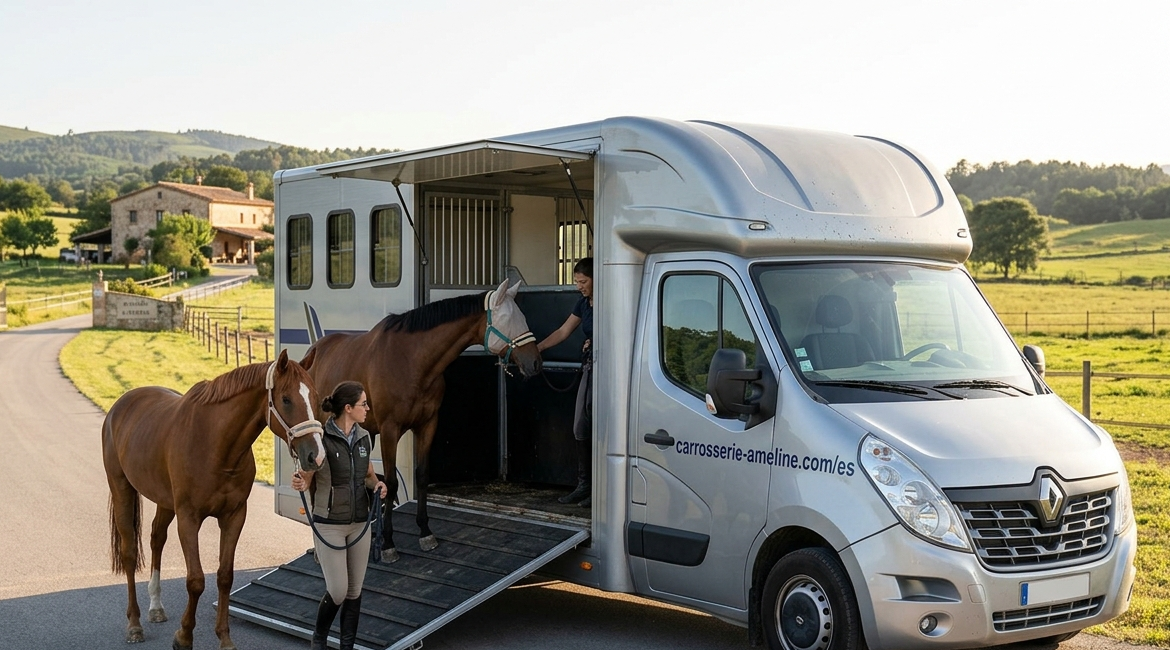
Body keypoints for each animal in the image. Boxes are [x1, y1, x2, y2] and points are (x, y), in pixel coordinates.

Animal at [102, 350, 326, 650]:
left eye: (315, 397)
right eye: (287, 399)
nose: (316, 455)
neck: (214, 444)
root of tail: (120, 405)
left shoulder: (234, 516)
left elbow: (224, 576)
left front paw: (224, 638)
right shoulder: (188, 518)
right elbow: (196, 581)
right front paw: (184, 636)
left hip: (165, 501)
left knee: (156, 538)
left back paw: (156, 607)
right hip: (122, 489)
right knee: (129, 553)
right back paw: (135, 624)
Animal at [302, 278, 542, 562]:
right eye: (506, 319)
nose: (535, 362)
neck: (411, 361)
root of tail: (313, 352)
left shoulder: (427, 425)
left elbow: (422, 476)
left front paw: (425, 532)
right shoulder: (391, 430)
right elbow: (391, 483)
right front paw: (388, 544)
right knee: (316, 483)